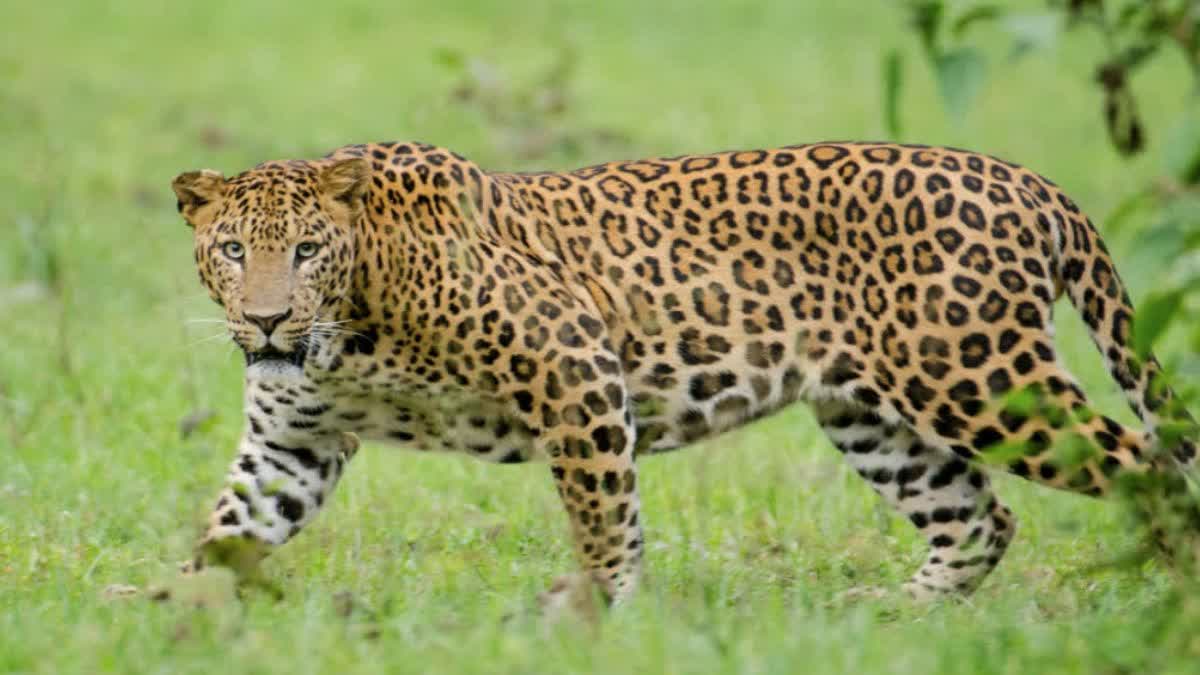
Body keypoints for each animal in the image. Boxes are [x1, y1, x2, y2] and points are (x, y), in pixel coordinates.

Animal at [171, 140, 1198, 606]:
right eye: (233, 249)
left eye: (307, 250)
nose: (267, 318)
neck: (351, 330)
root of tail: (1030, 181)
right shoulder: (293, 441)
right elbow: (230, 527)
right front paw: (167, 612)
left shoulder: (574, 362)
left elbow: (602, 512)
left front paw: (592, 611)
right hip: (873, 415)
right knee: (980, 516)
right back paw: (897, 616)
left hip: (978, 379)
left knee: (1149, 467)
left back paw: (1167, 602)